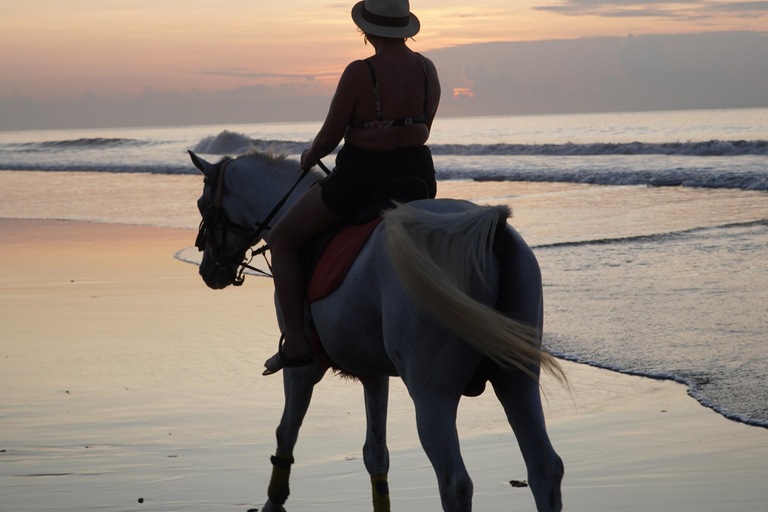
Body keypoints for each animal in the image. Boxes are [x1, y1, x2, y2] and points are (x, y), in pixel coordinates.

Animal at [190, 149, 564, 512]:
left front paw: (274, 500)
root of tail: (487, 229)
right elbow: (376, 454)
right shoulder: (373, 372)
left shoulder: (303, 367)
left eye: (203, 206)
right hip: (517, 380)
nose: (208, 271)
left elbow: (287, 431)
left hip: (432, 393)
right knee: (544, 468)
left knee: (455, 485)